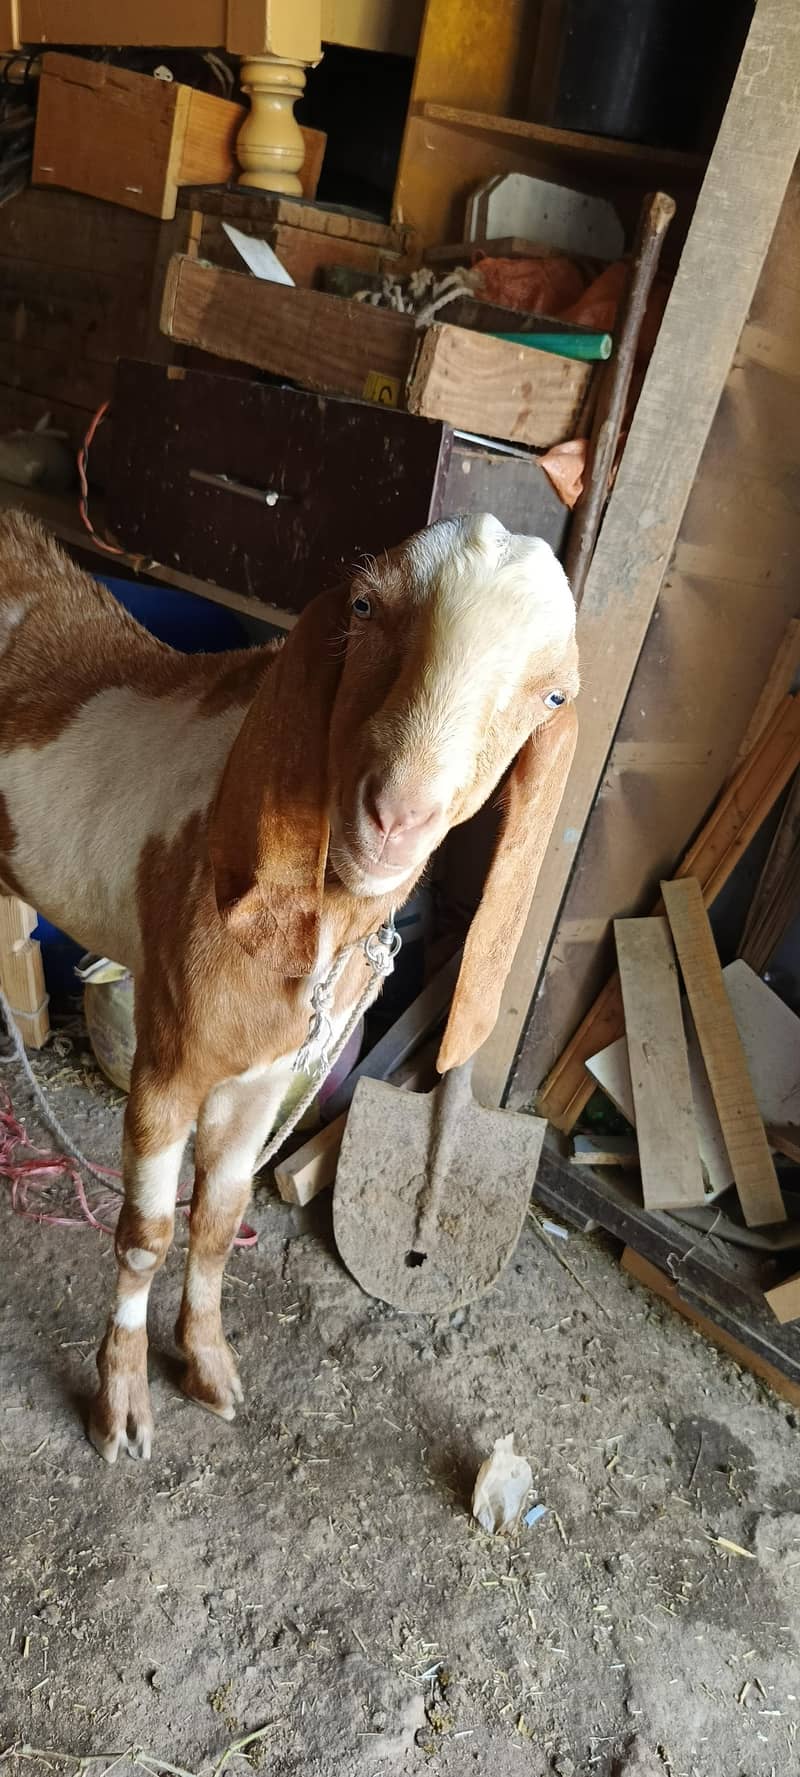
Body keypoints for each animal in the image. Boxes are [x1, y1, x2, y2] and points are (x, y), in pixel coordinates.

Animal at [0, 509, 579, 1462]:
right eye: (365, 603)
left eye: (555, 696)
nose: (396, 815)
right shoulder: (168, 1065)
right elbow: (147, 1235)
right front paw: (122, 1404)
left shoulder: (267, 1077)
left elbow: (218, 1219)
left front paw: (207, 1365)